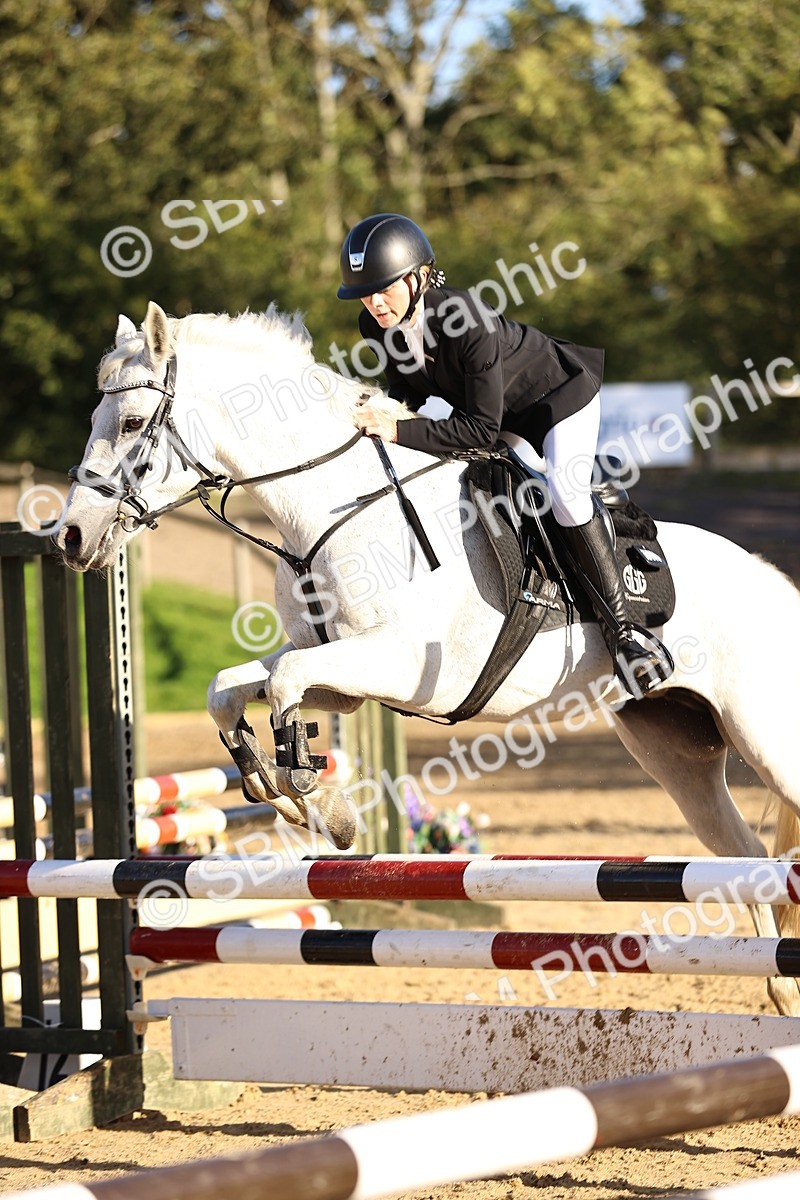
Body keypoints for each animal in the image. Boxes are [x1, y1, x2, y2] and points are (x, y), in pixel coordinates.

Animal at [55, 301, 800, 1016]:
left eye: (131, 422)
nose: (69, 537)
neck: (336, 508)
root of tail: (777, 583)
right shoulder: (341, 670)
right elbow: (231, 687)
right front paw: (282, 790)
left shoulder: (404, 666)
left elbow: (285, 685)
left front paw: (314, 796)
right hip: (674, 746)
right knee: (746, 857)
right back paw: (780, 989)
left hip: (764, 738)